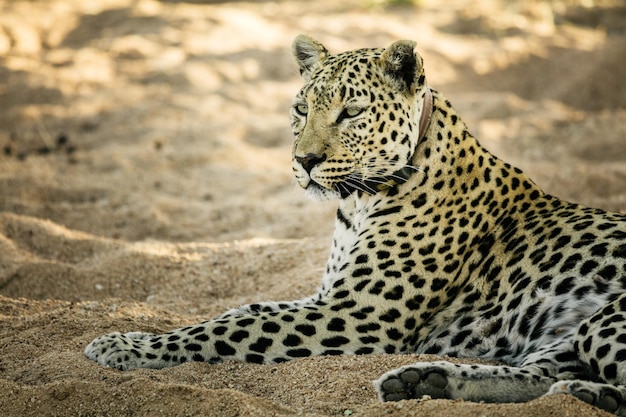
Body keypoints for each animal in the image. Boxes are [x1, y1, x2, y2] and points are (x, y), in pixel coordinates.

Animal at [83, 35, 624, 412]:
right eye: (301, 109)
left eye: (352, 112)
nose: (304, 161)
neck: (357, 204)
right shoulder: (329, 297)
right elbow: (237, 311)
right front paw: (132, 336)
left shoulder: (358, 312)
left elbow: (236, 327)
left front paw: (122, 344)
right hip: (567, 334)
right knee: (545, 379)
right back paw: (424, 380)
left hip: (604, 320)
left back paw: (596, 395)